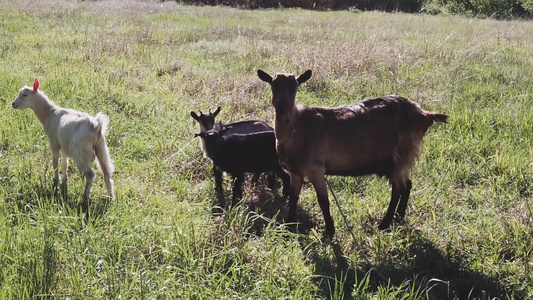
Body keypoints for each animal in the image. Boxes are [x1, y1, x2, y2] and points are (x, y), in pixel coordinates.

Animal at [256, 68, 444, 237]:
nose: (282, 106)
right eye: (273, 84)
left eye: (295, 85)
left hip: (402, 155)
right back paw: (398, 218)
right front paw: (289, 224)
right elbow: (294, 197)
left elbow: (323, 201)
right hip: (395, 162)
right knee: (407, 185)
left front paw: (329, 231)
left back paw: (384, 224)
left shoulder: (316, 169)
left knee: (397, 190)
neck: (297, 127)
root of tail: (423, 114)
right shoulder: (295, 171)